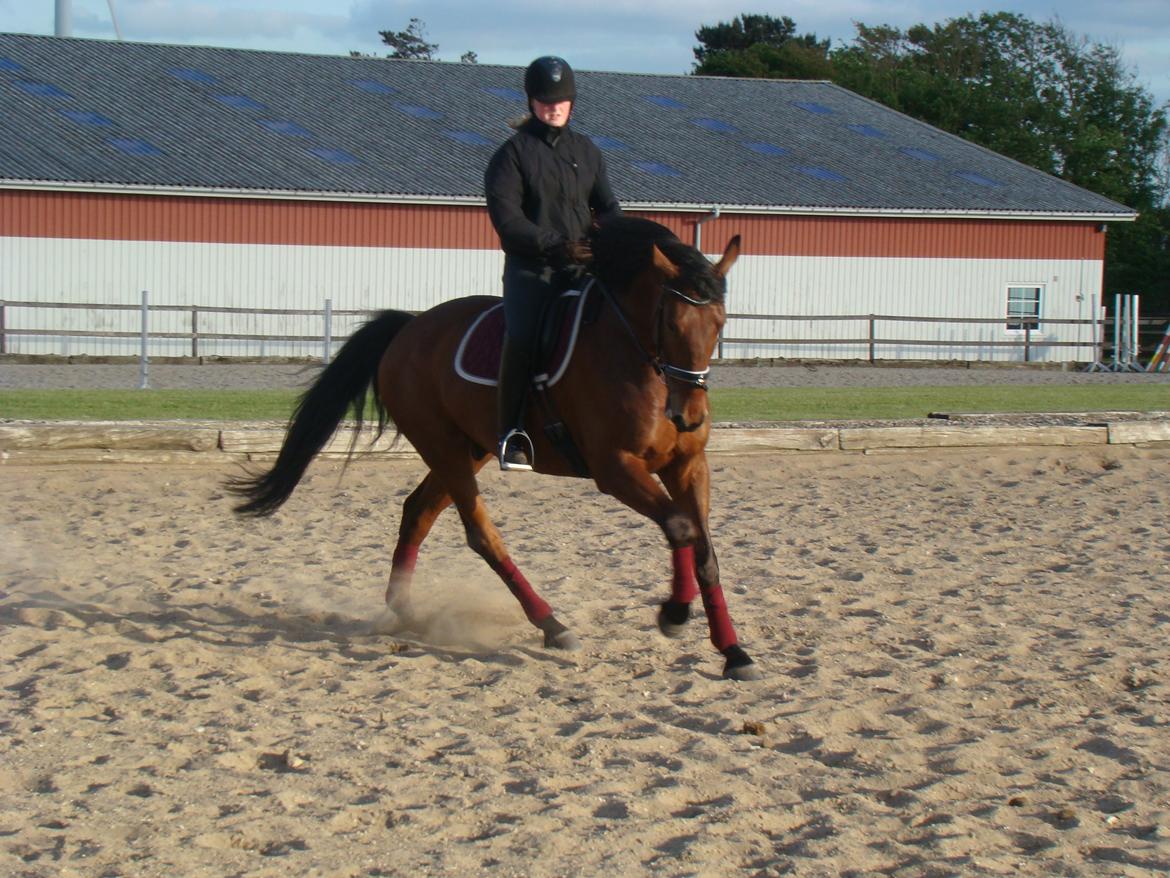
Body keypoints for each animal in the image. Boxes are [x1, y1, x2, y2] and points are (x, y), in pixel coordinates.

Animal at [230, 216, 758, 683]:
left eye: (719, 323)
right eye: (670, 322)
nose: (689, 417)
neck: (637, 358)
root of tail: (410, 328)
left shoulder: (688, 466)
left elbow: (703, 548)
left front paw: (733, 652)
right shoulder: (615, 469)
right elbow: (680, 527)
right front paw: (674, 612)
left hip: (471, 449)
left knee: (418, 511)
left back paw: (403, 610)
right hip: (443, 447)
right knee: (479, 533)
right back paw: (551, 624)